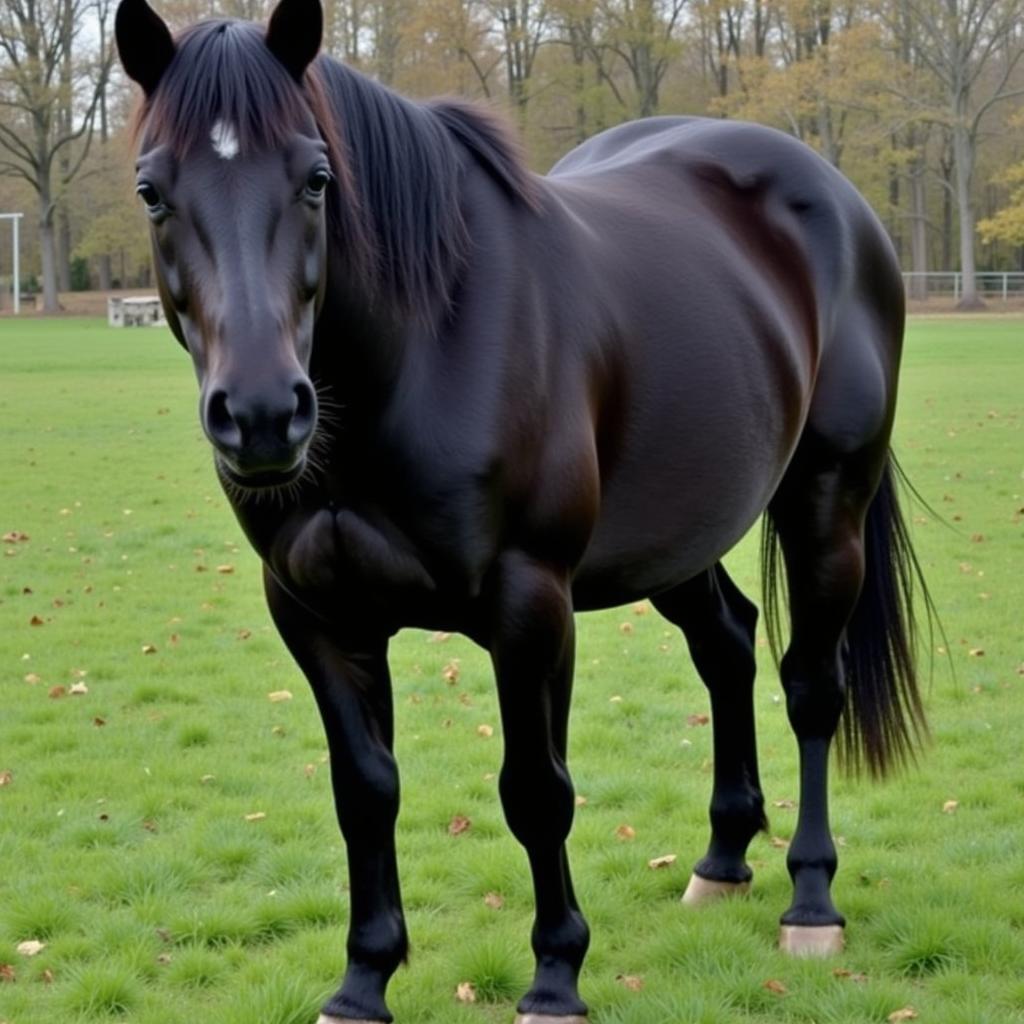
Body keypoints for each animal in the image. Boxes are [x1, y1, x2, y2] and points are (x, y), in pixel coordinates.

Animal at [117, 4, 929, 1019]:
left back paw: (811, 901)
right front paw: (364, 979)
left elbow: (537, 790)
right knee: (728, 646)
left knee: (812, 685)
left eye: (316, 178)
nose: (264, 414)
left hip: (827, 502)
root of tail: (835, 198)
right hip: (677, 538)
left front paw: (553, 975)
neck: (421, 351)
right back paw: (721, 860)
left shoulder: (528, 604)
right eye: (151, 191)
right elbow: (365, 791)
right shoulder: (317, 615)